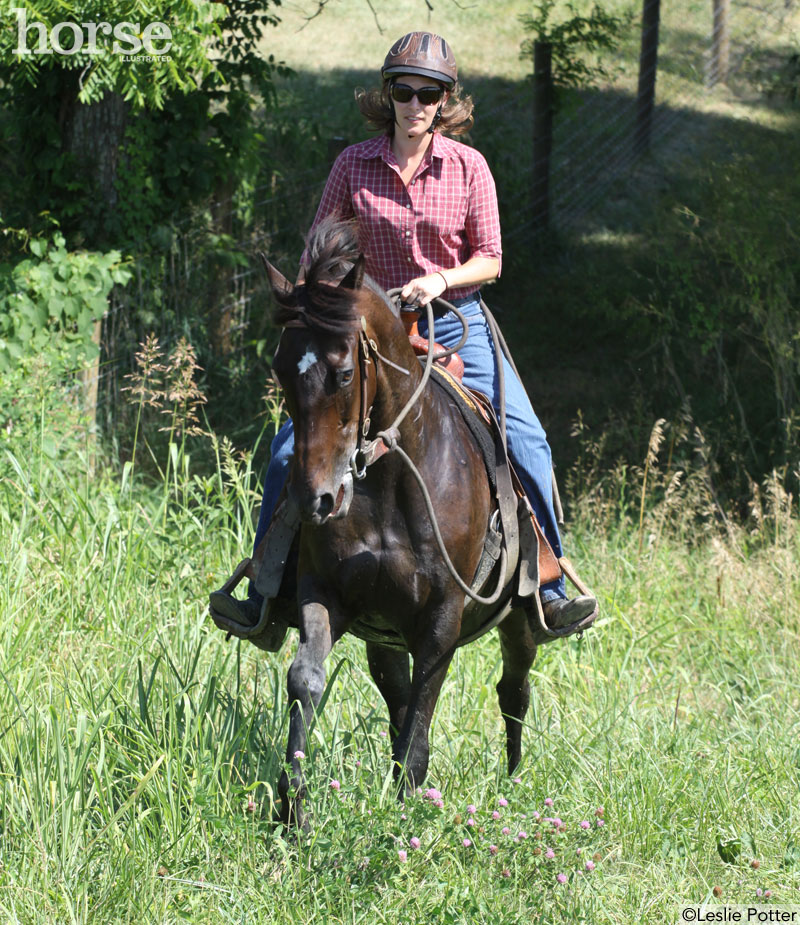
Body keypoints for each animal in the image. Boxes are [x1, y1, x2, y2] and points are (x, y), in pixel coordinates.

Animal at [262, 222, 544, 824]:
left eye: (345, 372)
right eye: (280, 371)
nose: (316, 499)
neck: (391, 483)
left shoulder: (441, 622)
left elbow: (422, 713)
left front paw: (406, 810)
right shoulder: (324, 593)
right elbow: (307, 678)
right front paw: (292, 807)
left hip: (520, 617)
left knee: (514, 687)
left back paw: (511, 779)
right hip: (382, 632)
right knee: (397, 692)